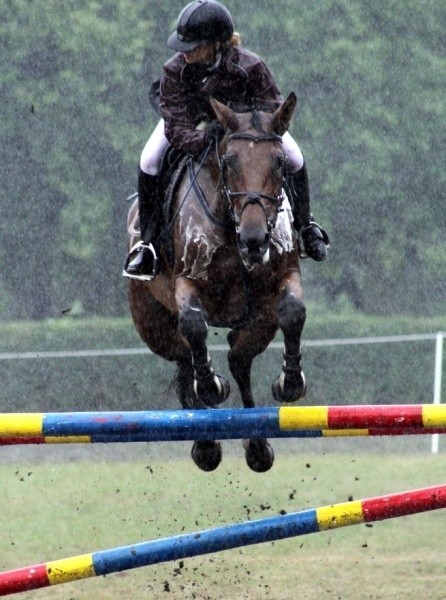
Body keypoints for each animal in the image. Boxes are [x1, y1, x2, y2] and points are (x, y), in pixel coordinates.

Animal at [127, 91, 304, 472]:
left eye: (280, 163)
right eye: (229, 162)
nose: (254, 239)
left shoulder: (285, 275)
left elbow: (293, 312)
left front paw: (291, 382)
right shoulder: (187, 281)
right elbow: (194, 326)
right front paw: (211, 387)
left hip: (257, 320)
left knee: (239, 357)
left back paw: (257, 446)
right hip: (150, 323)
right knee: (183, 357)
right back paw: (206, 443)